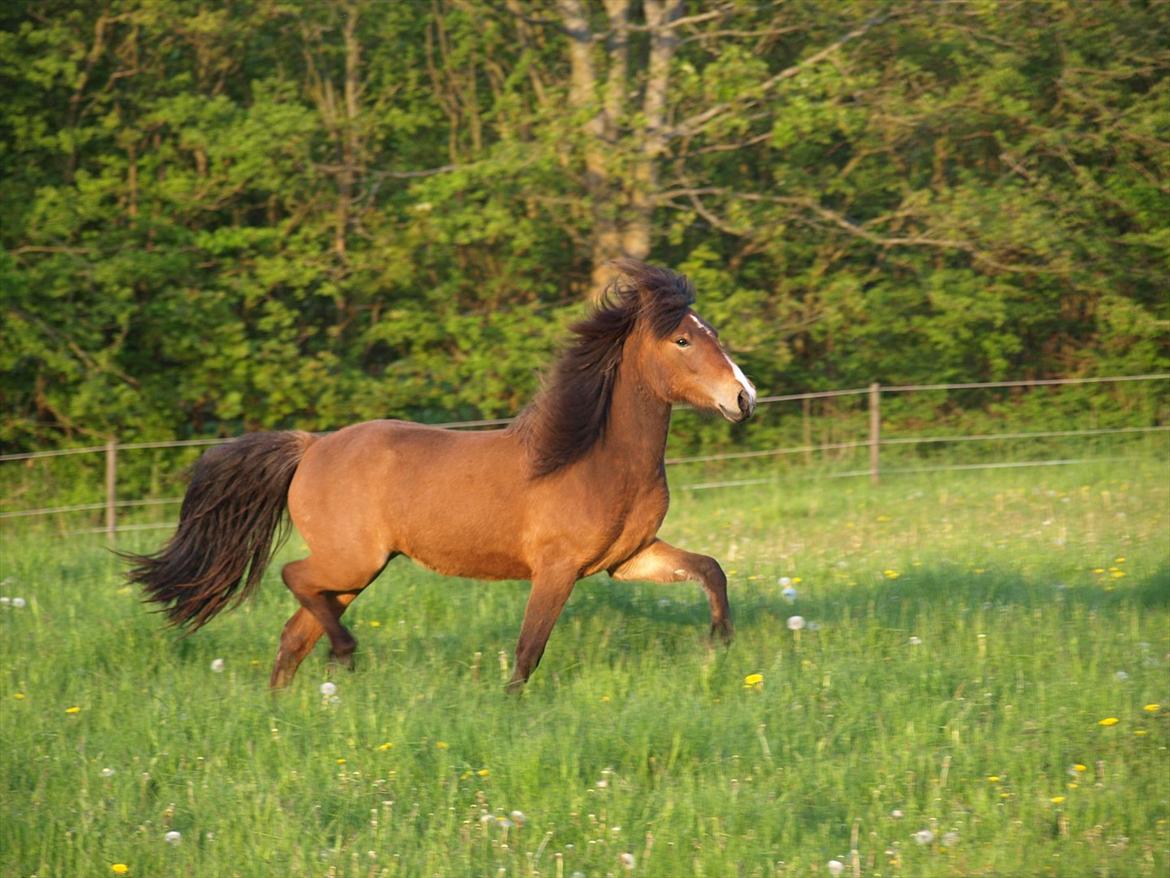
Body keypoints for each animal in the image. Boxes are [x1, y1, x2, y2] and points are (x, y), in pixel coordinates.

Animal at [123, 257, 753, 693]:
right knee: (293, 578)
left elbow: (710, 569)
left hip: (351, 575)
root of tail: (312, 447)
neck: (595, 458)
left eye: (712, 333)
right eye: (682, 339)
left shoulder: (627, 559)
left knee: (293, 634)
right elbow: (528, 652)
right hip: (352, 561)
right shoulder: (557, 569)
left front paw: (719, 643)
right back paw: (346, 652)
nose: (744, 398)